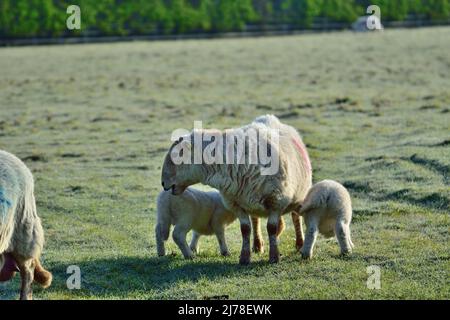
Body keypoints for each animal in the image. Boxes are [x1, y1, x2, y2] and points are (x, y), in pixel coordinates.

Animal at [160, 115, 312, 264]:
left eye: (176, 158)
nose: (162, 183)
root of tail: (269, 118)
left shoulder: (276, 200)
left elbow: (271, 228)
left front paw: (274, 257)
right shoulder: (236, 203)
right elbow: (245, 229)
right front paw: (244, 258)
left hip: (297, 194)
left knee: (295, 216)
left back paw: (299, 243)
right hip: (251, 199)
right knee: (255, 220)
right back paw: (257, 245)